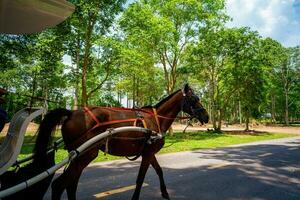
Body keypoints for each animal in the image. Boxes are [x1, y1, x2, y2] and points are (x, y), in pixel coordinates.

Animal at [32, 83, 209, 200]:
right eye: (194, 99)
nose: (206, 116)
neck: (156, 118)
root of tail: (71, 113)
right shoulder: (148, 153)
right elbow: (140, 179)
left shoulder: (149, 152)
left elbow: (159, 171)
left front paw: (165, 193)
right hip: (85, 154)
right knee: (59, 185)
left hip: (79, 157)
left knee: (70, 184)